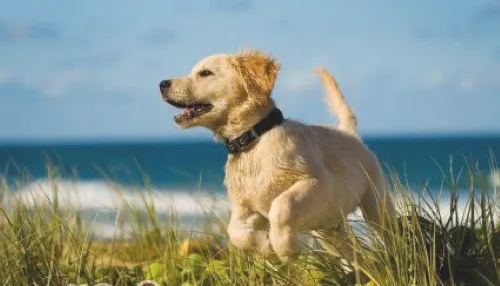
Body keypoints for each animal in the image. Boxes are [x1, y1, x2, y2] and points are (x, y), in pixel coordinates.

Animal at [159, 49, 394, 264]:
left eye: (205, 73)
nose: (162, 83)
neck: (253, 141)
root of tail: (350, 134)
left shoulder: (318, 182)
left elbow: (282, 205)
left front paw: (285, 248)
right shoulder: (245, 207)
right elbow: (235, 231)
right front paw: (266, 247)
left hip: (376, 204)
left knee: (390, 231)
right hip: (329, 231)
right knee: (357, 258)